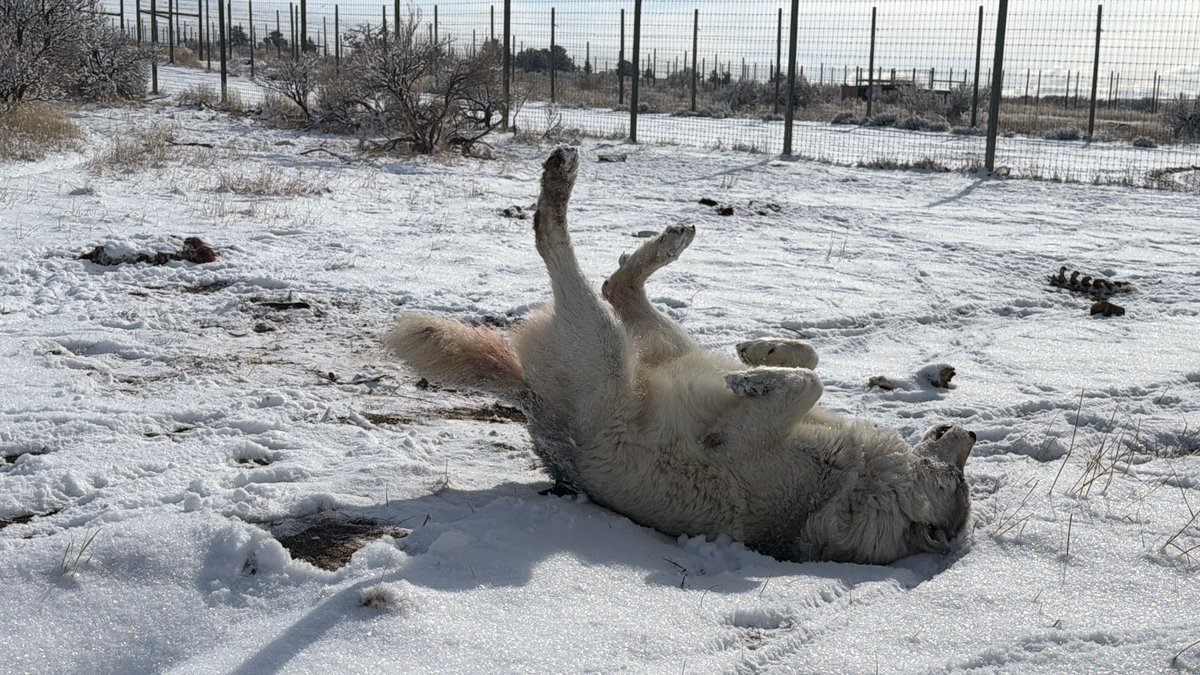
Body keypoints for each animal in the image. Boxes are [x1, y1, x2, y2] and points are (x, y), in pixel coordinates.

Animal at [385, 148, 974, 565]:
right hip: (661, 344)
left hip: (607, 346)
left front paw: (753, 379)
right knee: (617, 283)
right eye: (961, 471)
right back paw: (670, 239)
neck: (864, 484)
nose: (966, 432)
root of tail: (528, 398)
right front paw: (761, 357)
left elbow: (808, 383)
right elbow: (811, 368)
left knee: (555, 242)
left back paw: (561, 176)